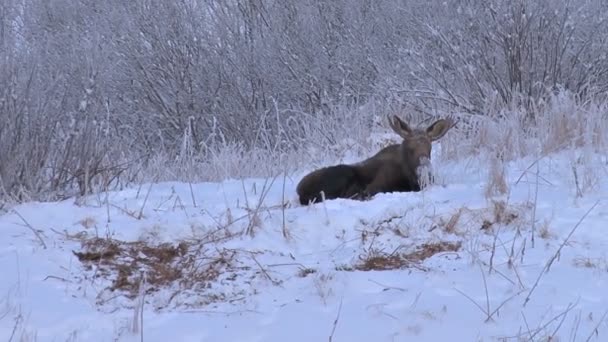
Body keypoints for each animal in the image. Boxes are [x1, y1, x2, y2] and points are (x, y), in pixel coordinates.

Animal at [296, 115, 454, 206]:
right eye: (410, 149)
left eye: (429, 148)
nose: (425, 169)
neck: (409, 177)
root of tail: (299, 190)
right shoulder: (375, 186)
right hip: (343, 174)